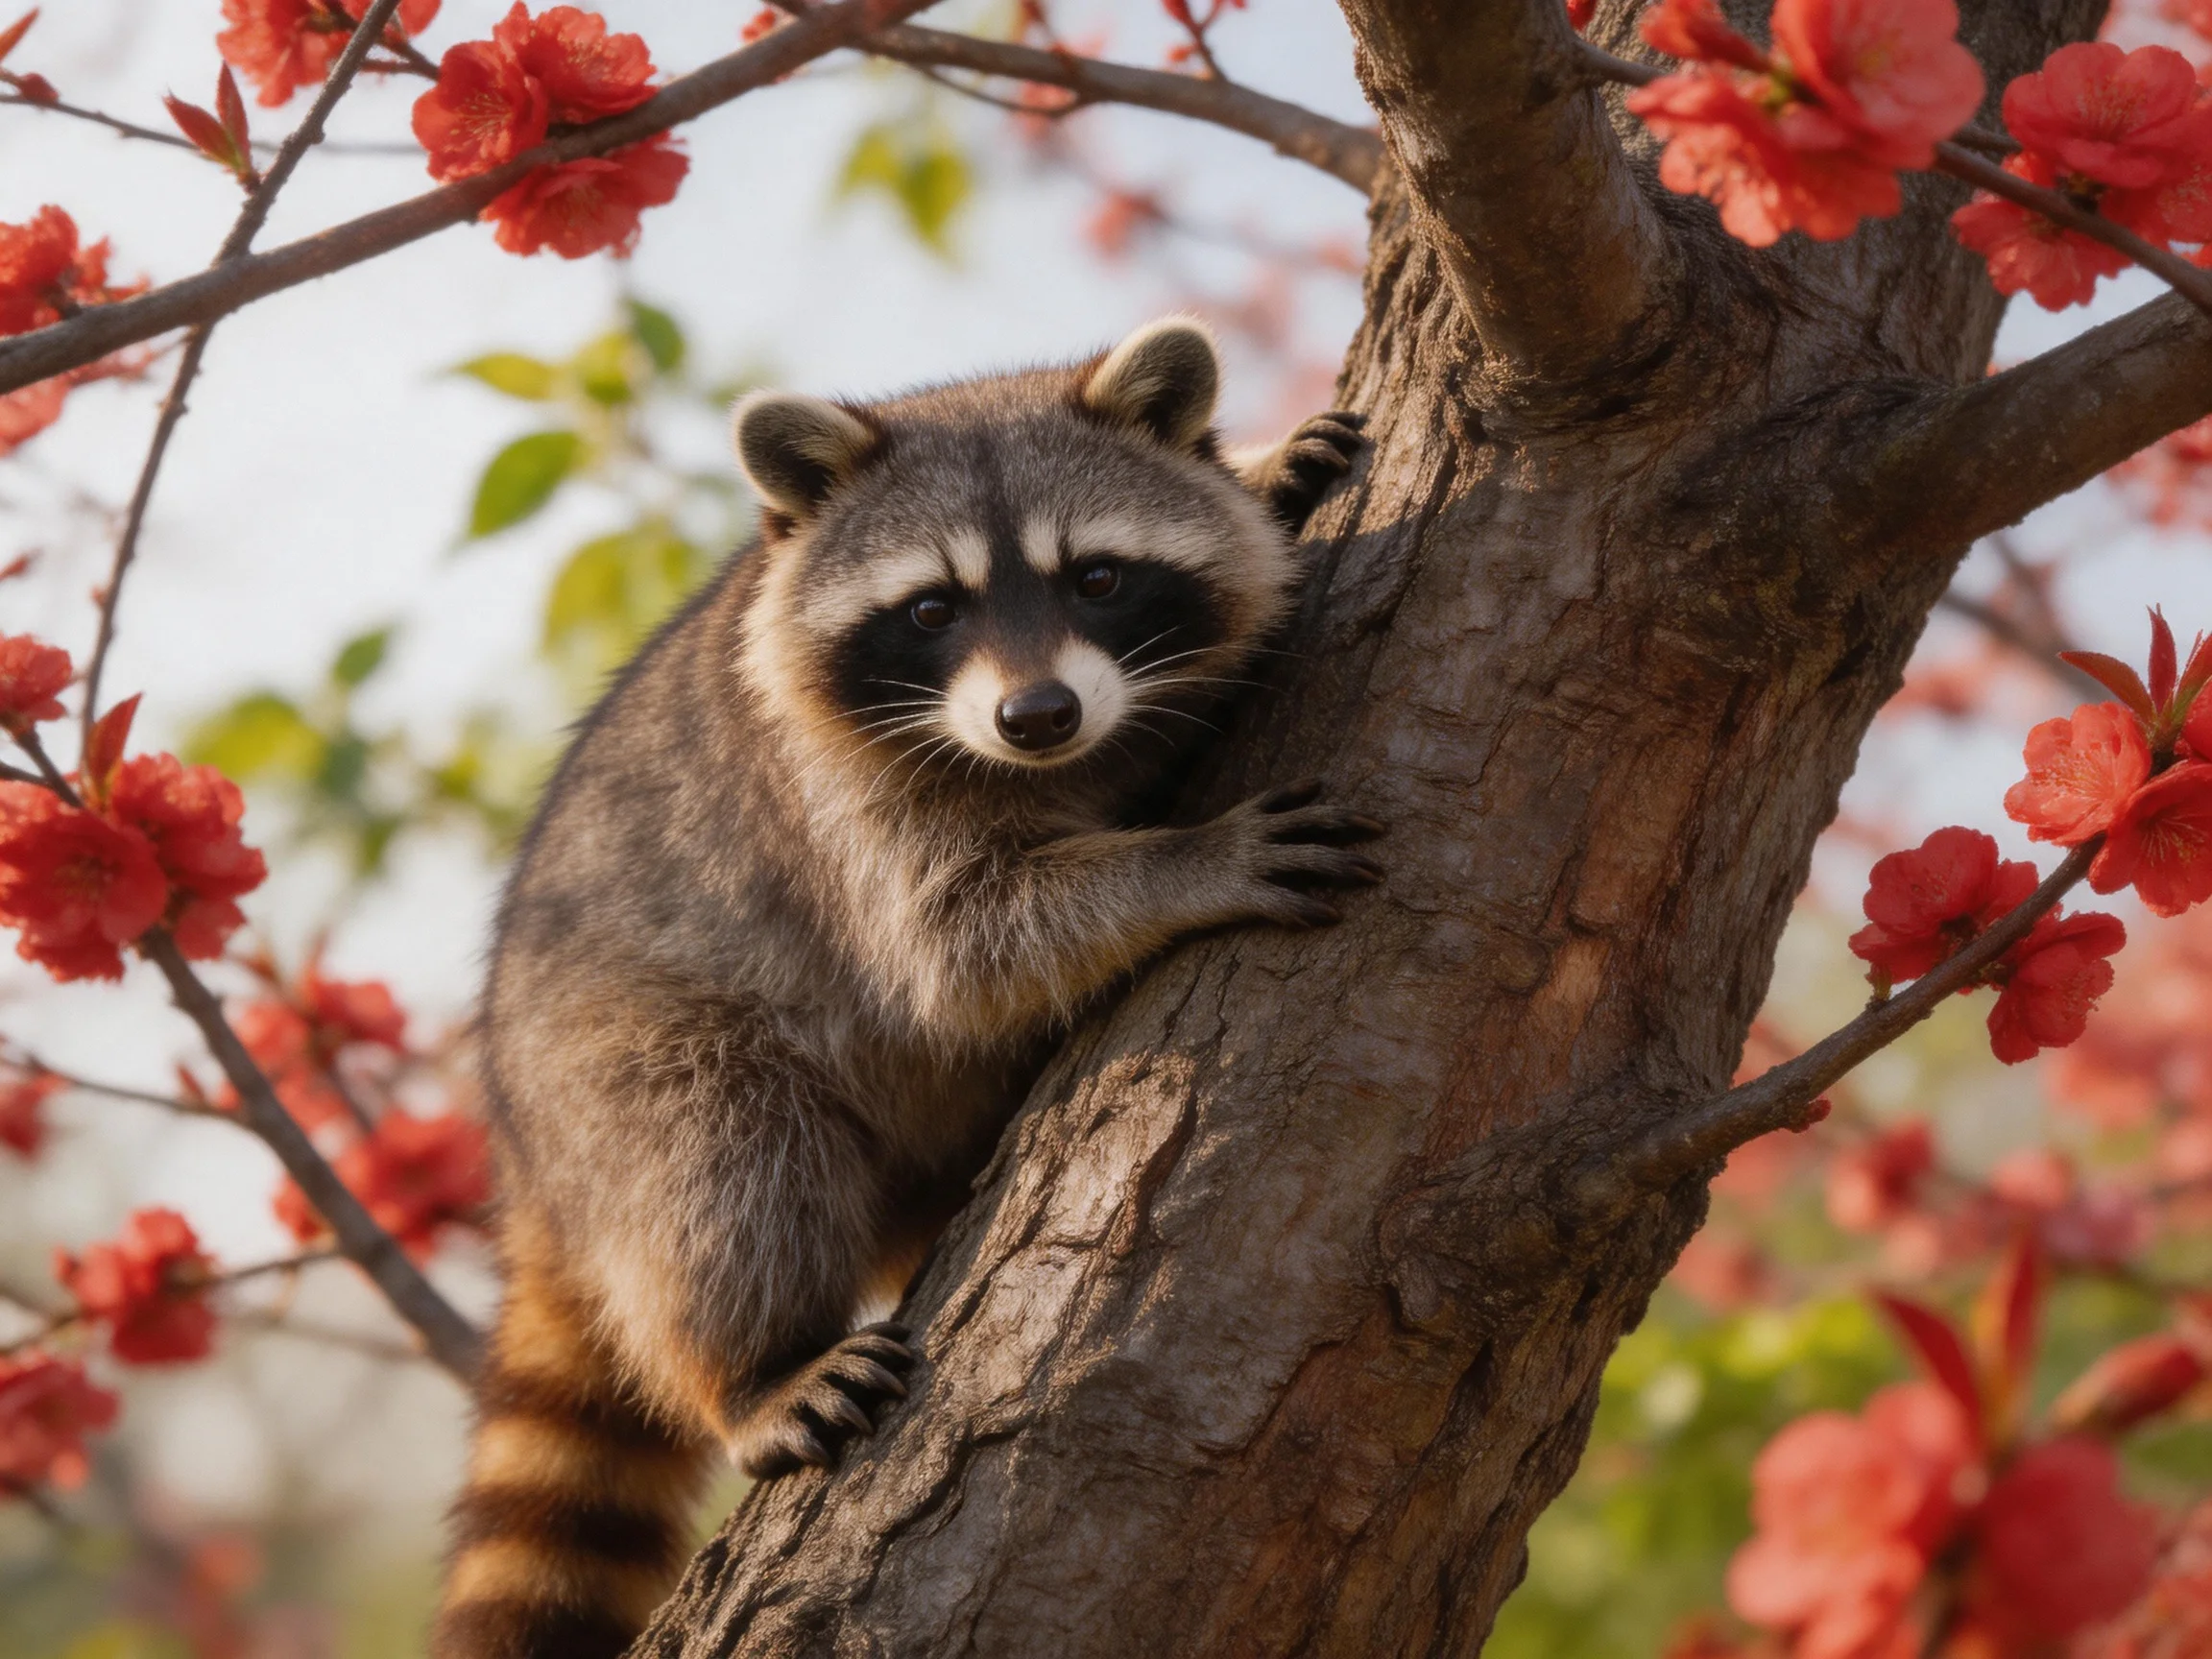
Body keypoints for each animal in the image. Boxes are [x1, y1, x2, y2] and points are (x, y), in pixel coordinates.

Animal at [431, 318, 1380, 1659]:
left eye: (1097, 579)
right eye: (932, 609)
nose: (1037, 715)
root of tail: (531, 1171)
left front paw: (1267, 472)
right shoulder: (843, 805)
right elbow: (965, 948)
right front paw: (1185, 863)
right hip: (611, 1067)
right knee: (720, 1158)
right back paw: (753, 1368)